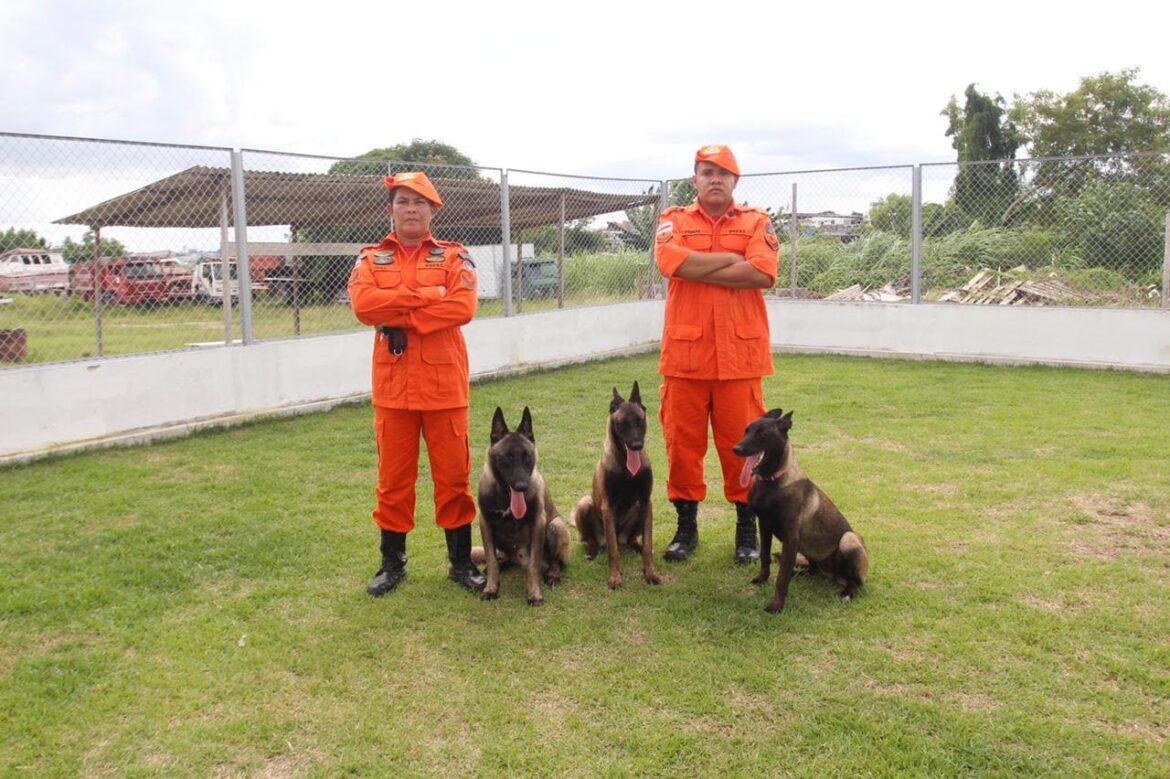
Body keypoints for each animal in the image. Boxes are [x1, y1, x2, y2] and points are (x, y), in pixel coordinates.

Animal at [472, 402, 568, 603]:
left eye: (527, 457)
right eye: (507, 457)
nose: (522, 486)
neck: (506, 496)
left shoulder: (538, 523)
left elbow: (533, 565)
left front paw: (534, 593)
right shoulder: (486, 523)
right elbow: (491, 559)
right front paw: (491, 588)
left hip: (555, 526)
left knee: (555, 562)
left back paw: (552, 574)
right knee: (504, 557)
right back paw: (504, 562)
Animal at [570, 381, 664, 589]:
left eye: (640, 421)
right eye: (623, 424)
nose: (637, 445)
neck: (626, 467)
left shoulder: (646, 502)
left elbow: (648, 545)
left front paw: (650, 572)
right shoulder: (608, 506)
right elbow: (614, 552)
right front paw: (614, 577)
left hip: (638, 510)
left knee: (631, 540)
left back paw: (635, 545)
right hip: (585, 504)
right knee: (593, 540)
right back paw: (592, 550)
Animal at [730, 407, 870, 612]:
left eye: (762, 433)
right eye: (746, 431)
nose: (736, 449)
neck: (772, 482)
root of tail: (833, 575)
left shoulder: (791, 538)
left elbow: (781, 577)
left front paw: (776, 606)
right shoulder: (764, 527)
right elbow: (765, 557)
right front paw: (763, 579)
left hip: (849, 539)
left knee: (857, 583)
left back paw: (847, 593)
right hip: (808, 550)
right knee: (811, 570)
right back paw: (799, 574)